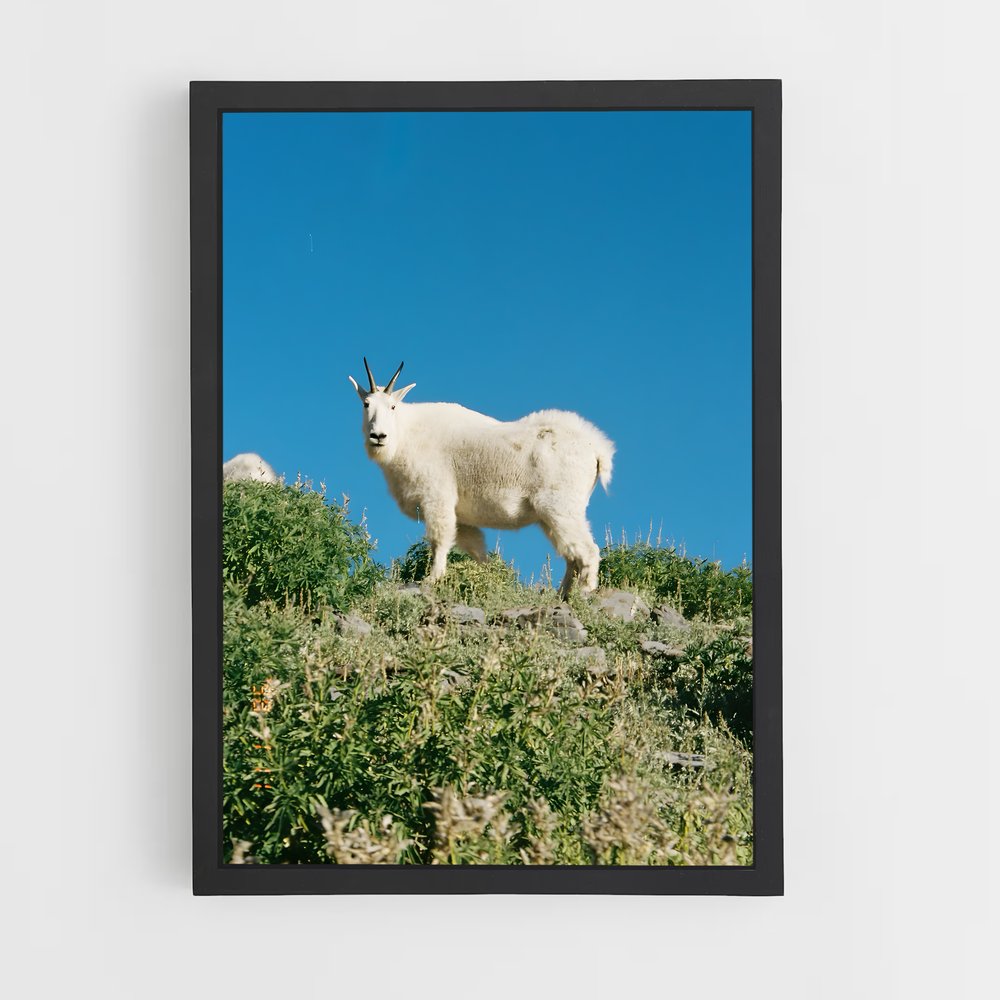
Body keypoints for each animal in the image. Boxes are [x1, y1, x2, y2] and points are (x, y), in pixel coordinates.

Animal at [348, 358, 614, 596]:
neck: (405, 434)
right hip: (550, 515)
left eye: (393, 406)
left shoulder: (437, 496)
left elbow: (440, 539)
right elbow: (476, 548)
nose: (378, 436)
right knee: (571, 555)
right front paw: (490, 579)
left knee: (587, 550)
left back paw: (584, 593)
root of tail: (598, 450)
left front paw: (432, 579)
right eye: (366, 404)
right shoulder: (462, 516)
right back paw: (561, 595)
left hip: (560, 505)